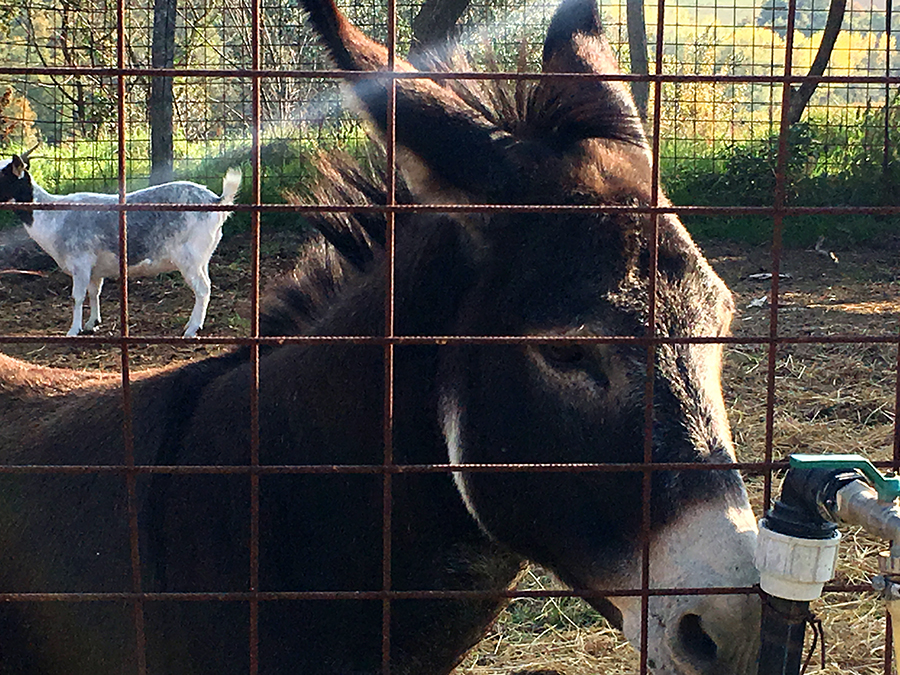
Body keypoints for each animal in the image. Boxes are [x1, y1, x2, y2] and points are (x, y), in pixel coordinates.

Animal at [0, 149, 241, 336]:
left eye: (2, 175)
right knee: (206, 285)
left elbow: (77, 297)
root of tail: (216, 200)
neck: (51, 215)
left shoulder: (80, 262)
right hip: (203, 257)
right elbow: (94, 293)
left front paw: (73, 330)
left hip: (189, 257)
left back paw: (191, 329)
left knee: (203, 289)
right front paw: (92, 323)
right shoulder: (94, 269)